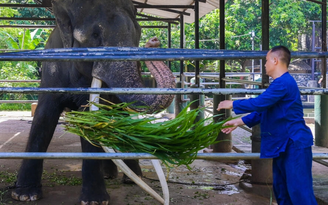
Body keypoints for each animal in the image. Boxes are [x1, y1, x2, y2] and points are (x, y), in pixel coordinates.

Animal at [10, 0, 176, 204]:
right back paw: (109, 175)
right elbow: (43, 118)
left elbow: (90, 120)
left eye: (137, 33)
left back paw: (129, 178)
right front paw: (24, 195)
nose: (153, 41)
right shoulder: (52, 68)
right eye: (95, 36)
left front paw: (94, 201)